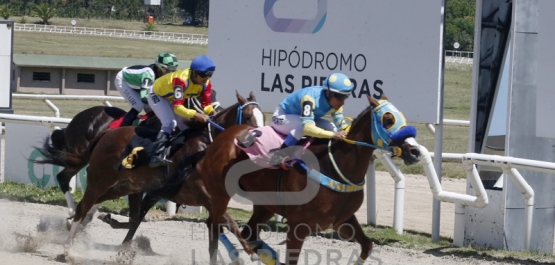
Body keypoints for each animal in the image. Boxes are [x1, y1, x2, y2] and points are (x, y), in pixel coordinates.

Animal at [195, 95, 422, 264]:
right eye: (388, 120)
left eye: (402, 117)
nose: (415, 151)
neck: (334, 166)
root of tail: (224, 135)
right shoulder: (298, 227)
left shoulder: (342, 220)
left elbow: (367, 245)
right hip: (220, 193)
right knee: (215, 225)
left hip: (264, 205)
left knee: (248, 233)